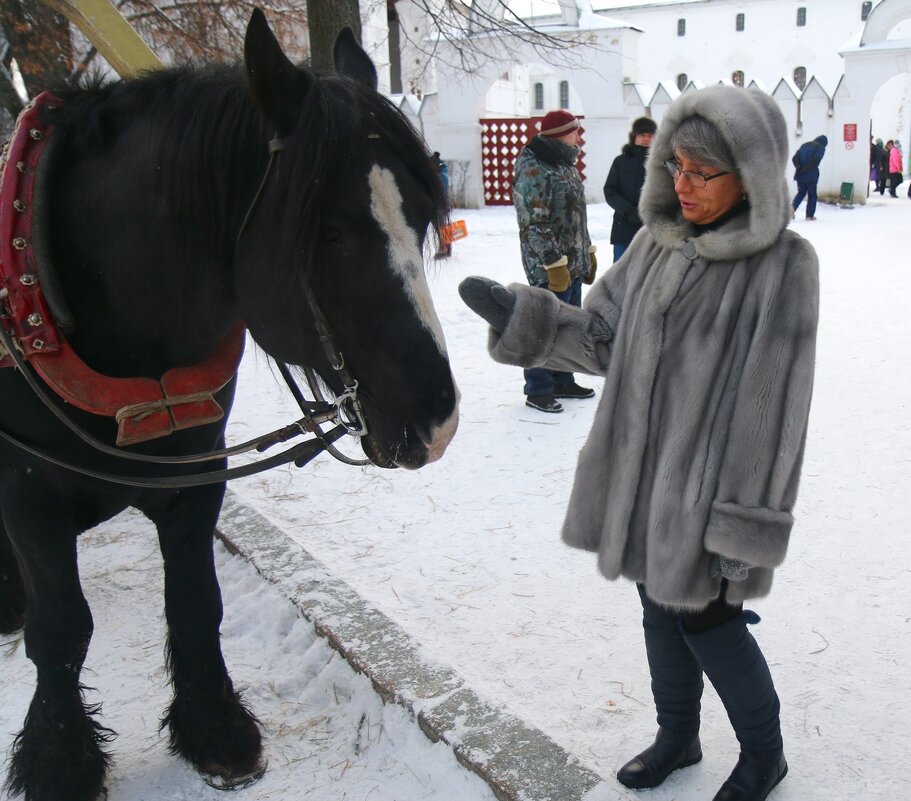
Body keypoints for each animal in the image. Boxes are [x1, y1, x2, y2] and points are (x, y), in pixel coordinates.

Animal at [0, 7, 456, 800]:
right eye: (327, 229)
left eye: (422, 215)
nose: (438, 418)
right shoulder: (29, 496)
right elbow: (61, 630)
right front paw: (61, 760)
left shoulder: (195, 479)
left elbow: (193, 601)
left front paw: (212, 728)